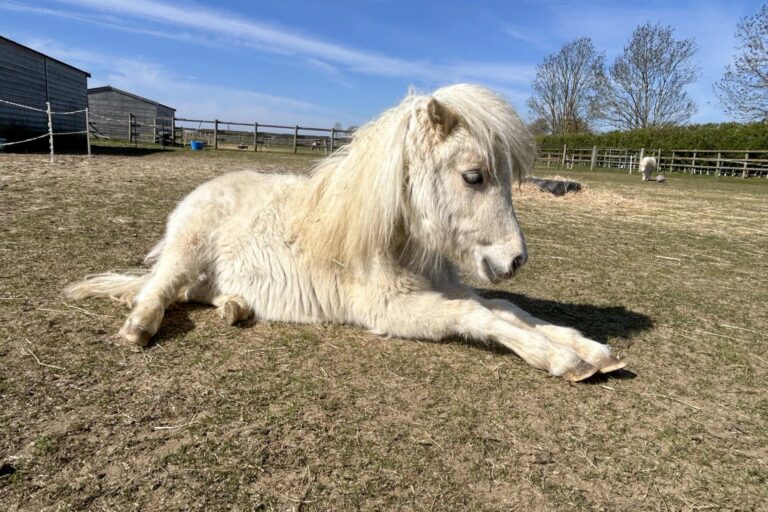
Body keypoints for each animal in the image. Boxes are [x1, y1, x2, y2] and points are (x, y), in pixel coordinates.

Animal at [65, 84, 626, 382]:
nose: (515, 260)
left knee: (194, 294)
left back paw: (235, 308)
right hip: (186, 249)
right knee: (159, 289)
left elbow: (506, 309)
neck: (394, 244)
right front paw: (561, 358)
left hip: (207, 276)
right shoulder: (393, 309)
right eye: (473, 176)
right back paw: (139, 327)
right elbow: (479, 316)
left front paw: (592, 351)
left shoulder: (446, 287)